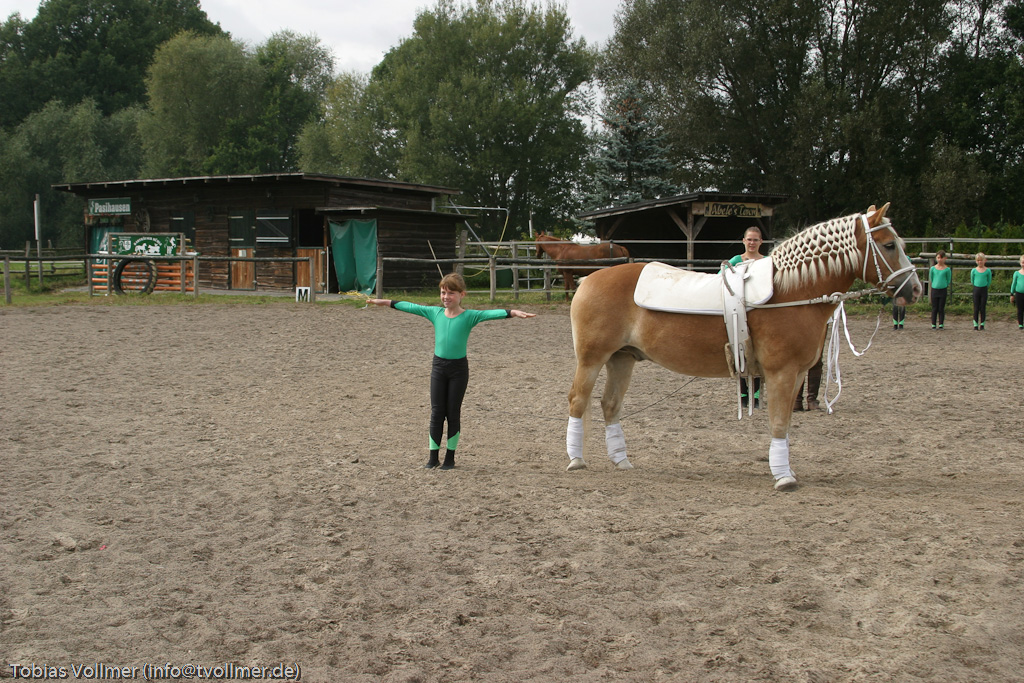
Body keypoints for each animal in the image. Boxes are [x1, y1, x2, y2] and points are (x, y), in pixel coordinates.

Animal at [564, 203, 922, 491]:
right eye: (889, 245)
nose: (916, 289)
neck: (791, 293)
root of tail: (588, 280)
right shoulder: (781, 373)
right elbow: (779, 423)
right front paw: (784, 477)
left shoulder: (794, 376)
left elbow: (786, 424)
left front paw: (786, 470)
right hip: (592, 359)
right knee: (578, 401)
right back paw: (576, 461)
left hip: (622, 359)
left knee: (610, 405)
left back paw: (621, 461)